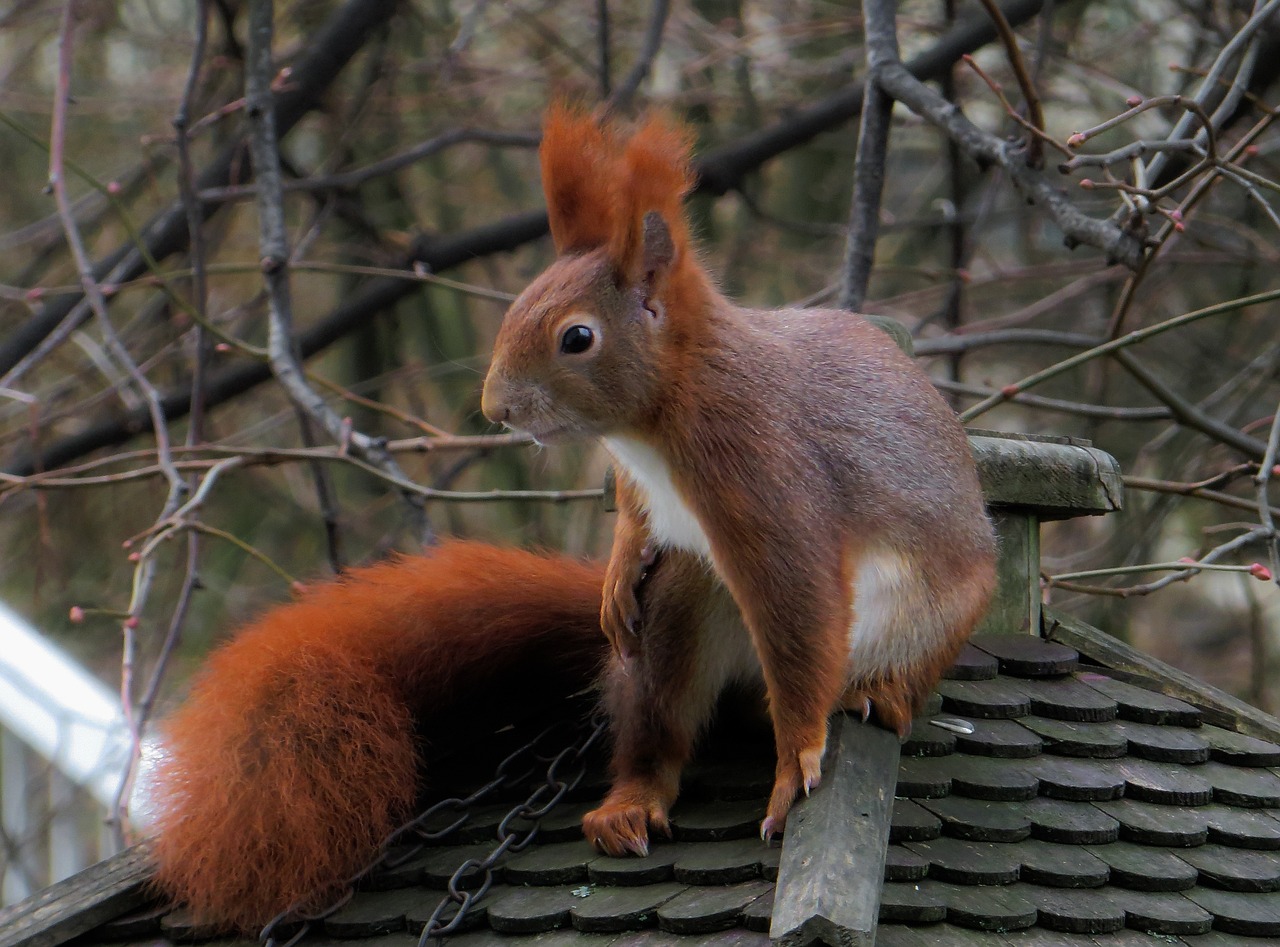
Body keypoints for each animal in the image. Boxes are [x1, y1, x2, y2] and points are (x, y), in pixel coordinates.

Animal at [483, 107, 993, 854]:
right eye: (515, 307)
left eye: (577, 338)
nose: (495, 408)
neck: (653, 426)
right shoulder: (640, 482)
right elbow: (634, 517)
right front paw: (615, 572)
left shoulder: (762, 472)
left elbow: (801, 607)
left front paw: (794, 766)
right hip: (682, 602)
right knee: (662, 713)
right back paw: (630, 802)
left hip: (926, 622)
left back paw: (879, 693)